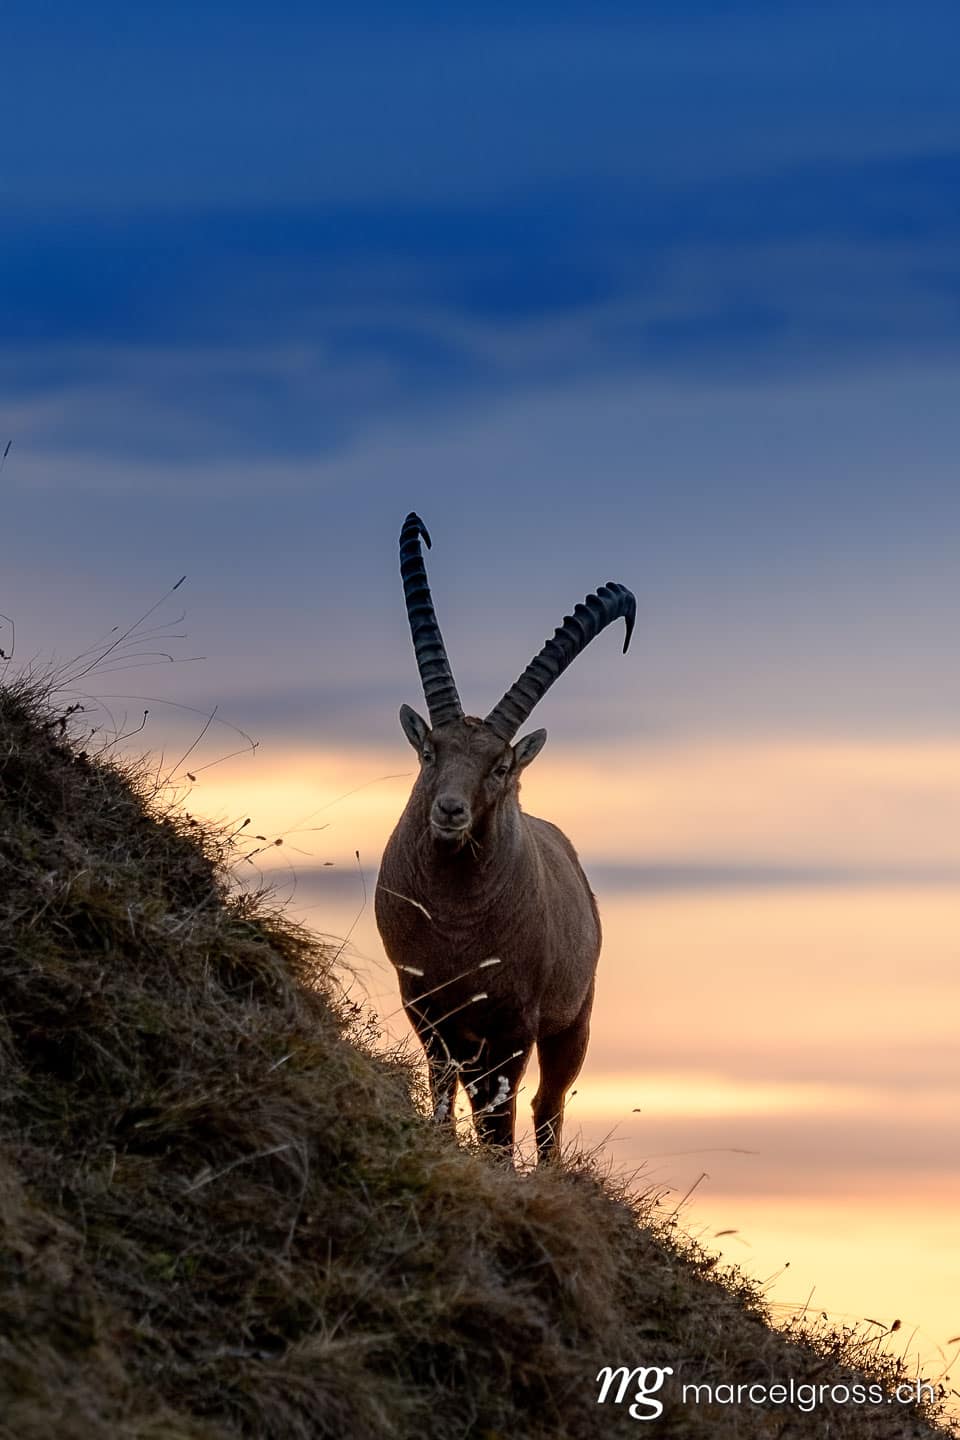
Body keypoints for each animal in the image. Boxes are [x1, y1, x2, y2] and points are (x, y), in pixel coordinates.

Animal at [375, 513, 635, 1162]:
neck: (457, 924)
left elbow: (501, 1115)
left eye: (499, 766)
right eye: (429, 750)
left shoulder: (515, 1018)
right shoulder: (426, 1003)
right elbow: (445, 1088)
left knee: (548, 1104)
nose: (449, 810)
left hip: (574, 1019)